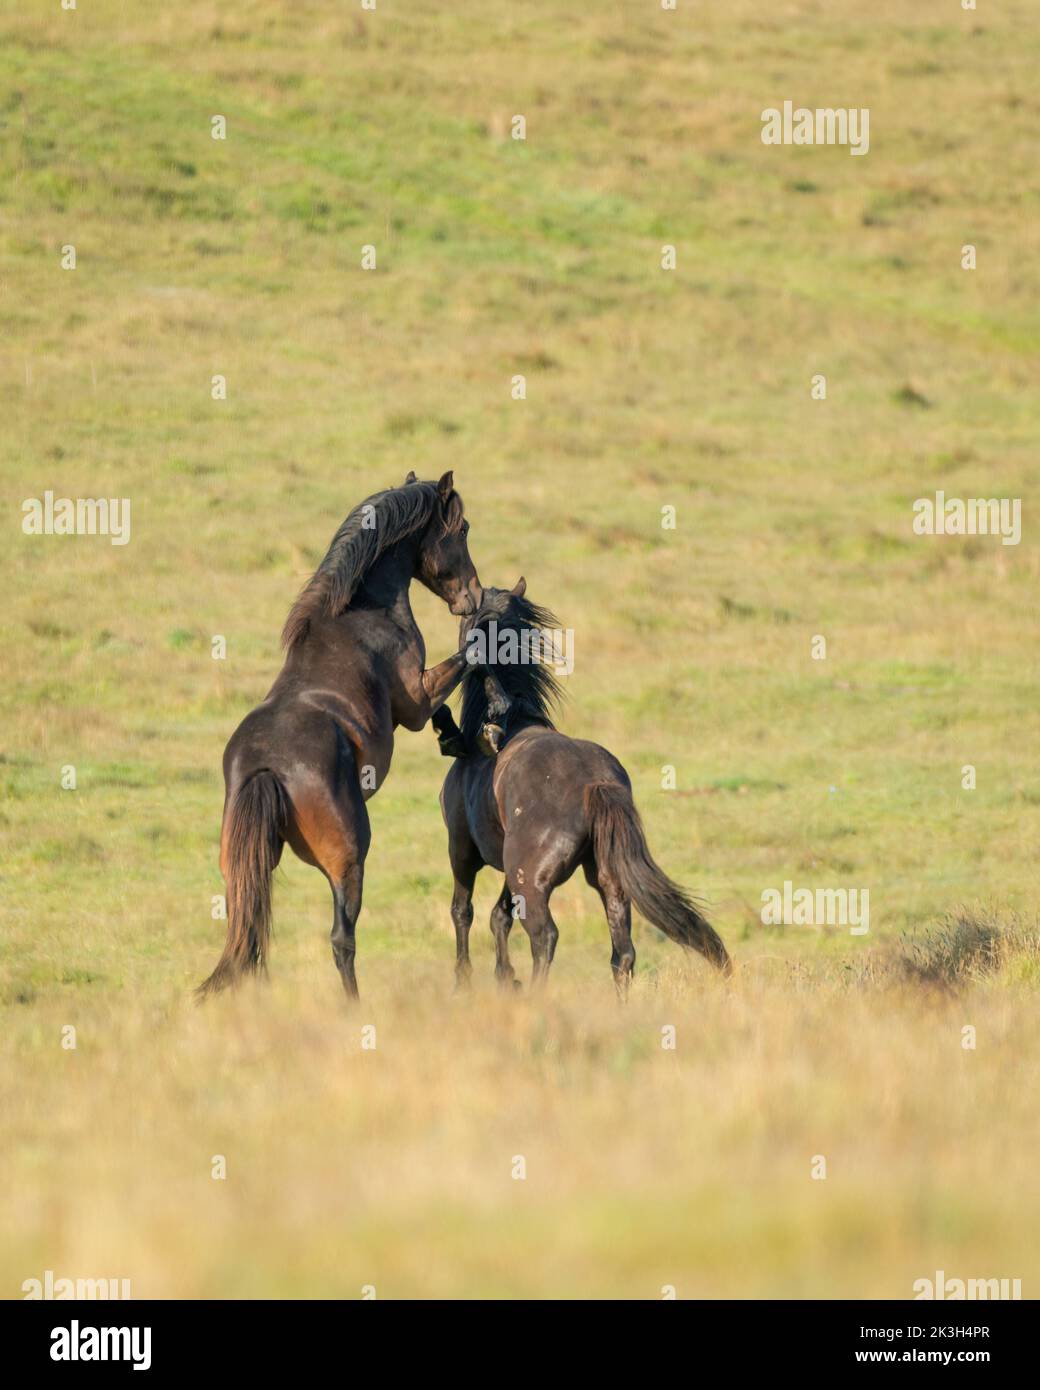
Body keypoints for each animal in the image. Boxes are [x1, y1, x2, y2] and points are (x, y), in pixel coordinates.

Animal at [201, 475, 486, 1000]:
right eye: (462, 529)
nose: (473, 597)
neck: (359, 612)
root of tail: (266, 766)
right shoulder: (416, 700)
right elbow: (460, 667)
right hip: (348, 860)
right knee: (341, 938)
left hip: (244, 867)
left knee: (248, 932)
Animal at [433, 581, 734, 995]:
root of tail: (595, 785)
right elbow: (498, 917)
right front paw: (505, 977)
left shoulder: (461, 849)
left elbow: (464, 912)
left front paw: (465, 979)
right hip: (607, 882)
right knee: (622, 954)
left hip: (530, 880)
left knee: (544, 937)